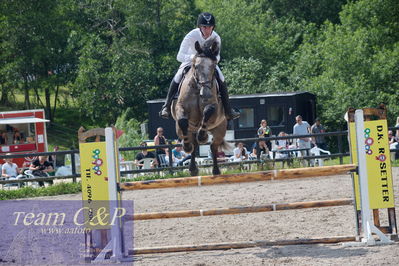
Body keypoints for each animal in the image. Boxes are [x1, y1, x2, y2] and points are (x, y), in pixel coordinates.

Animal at [170, 40, 230, 177]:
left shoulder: (215, 108)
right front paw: (186, 146)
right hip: (182, 129)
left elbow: (208, 111)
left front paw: (203, 136)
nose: (206, 94)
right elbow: (182, 120)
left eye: (213, 66)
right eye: (196, 66)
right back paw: (192, 166)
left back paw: (215, 170)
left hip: (220, 129)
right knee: (192, 141)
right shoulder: (180, 108)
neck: (198, 89)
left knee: (213, 146)